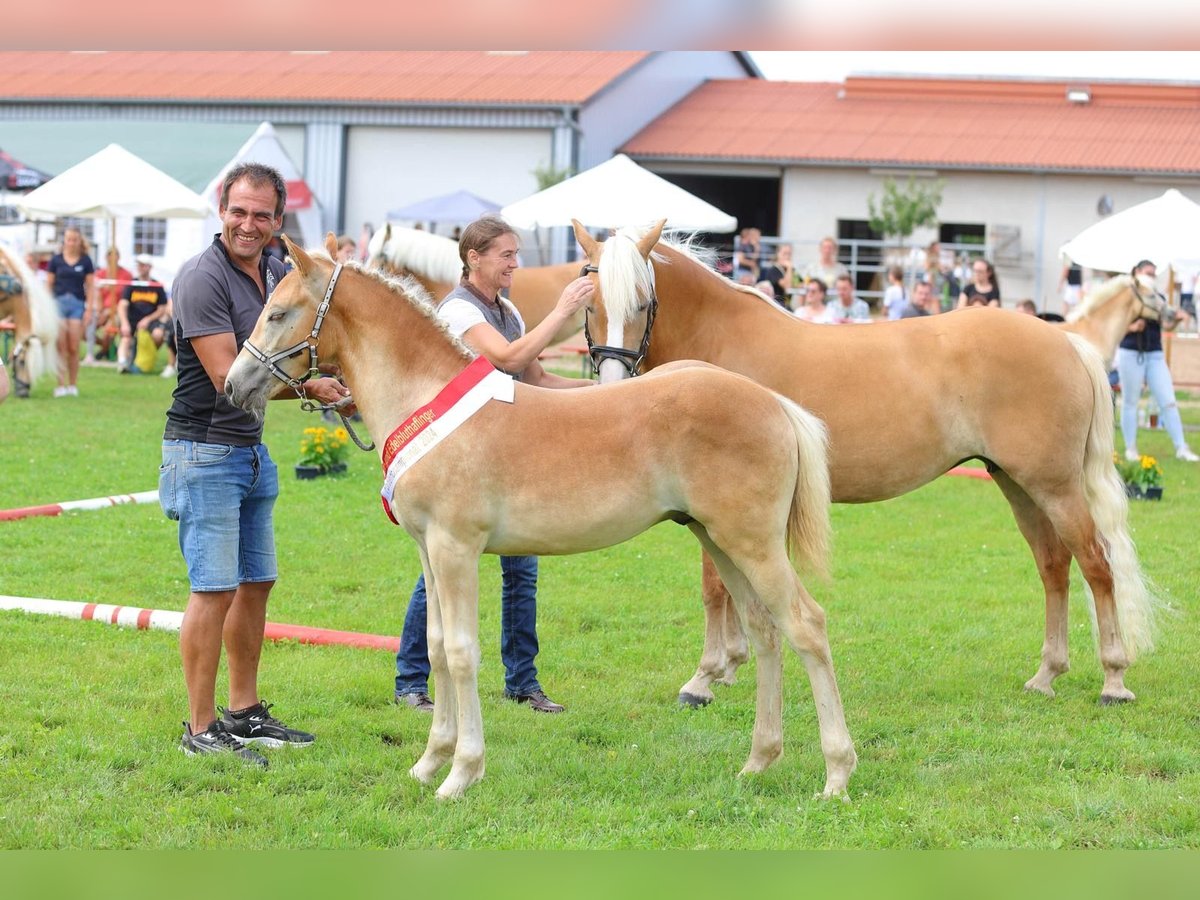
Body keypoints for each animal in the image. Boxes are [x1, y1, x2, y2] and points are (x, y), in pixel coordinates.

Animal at [225, 234, 859, 801]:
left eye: (278, 312)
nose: (234, 385)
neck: (428, 401)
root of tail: (773, 402)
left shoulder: (456, 549)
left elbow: (462, 653)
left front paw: (461, 774)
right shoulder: (428, 549)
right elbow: (434, 646)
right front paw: (429, 763)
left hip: (753, 543)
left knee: (806, 625)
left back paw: (836, 775)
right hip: (721, 541)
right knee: (763, 630)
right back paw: (758, 762)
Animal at [576, 220, 1156, 710]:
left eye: (643, 302)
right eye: (589, 301)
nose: (611, 383)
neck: (719, 345)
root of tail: (1065, 339)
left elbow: (714, 586)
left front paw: (705, 676)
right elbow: (730, 588)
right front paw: (731, 666)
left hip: (1056, 487)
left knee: (1096, 564)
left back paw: (1114, 679)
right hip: (1017, 483)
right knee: (1054, 566)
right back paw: (1047, 674)